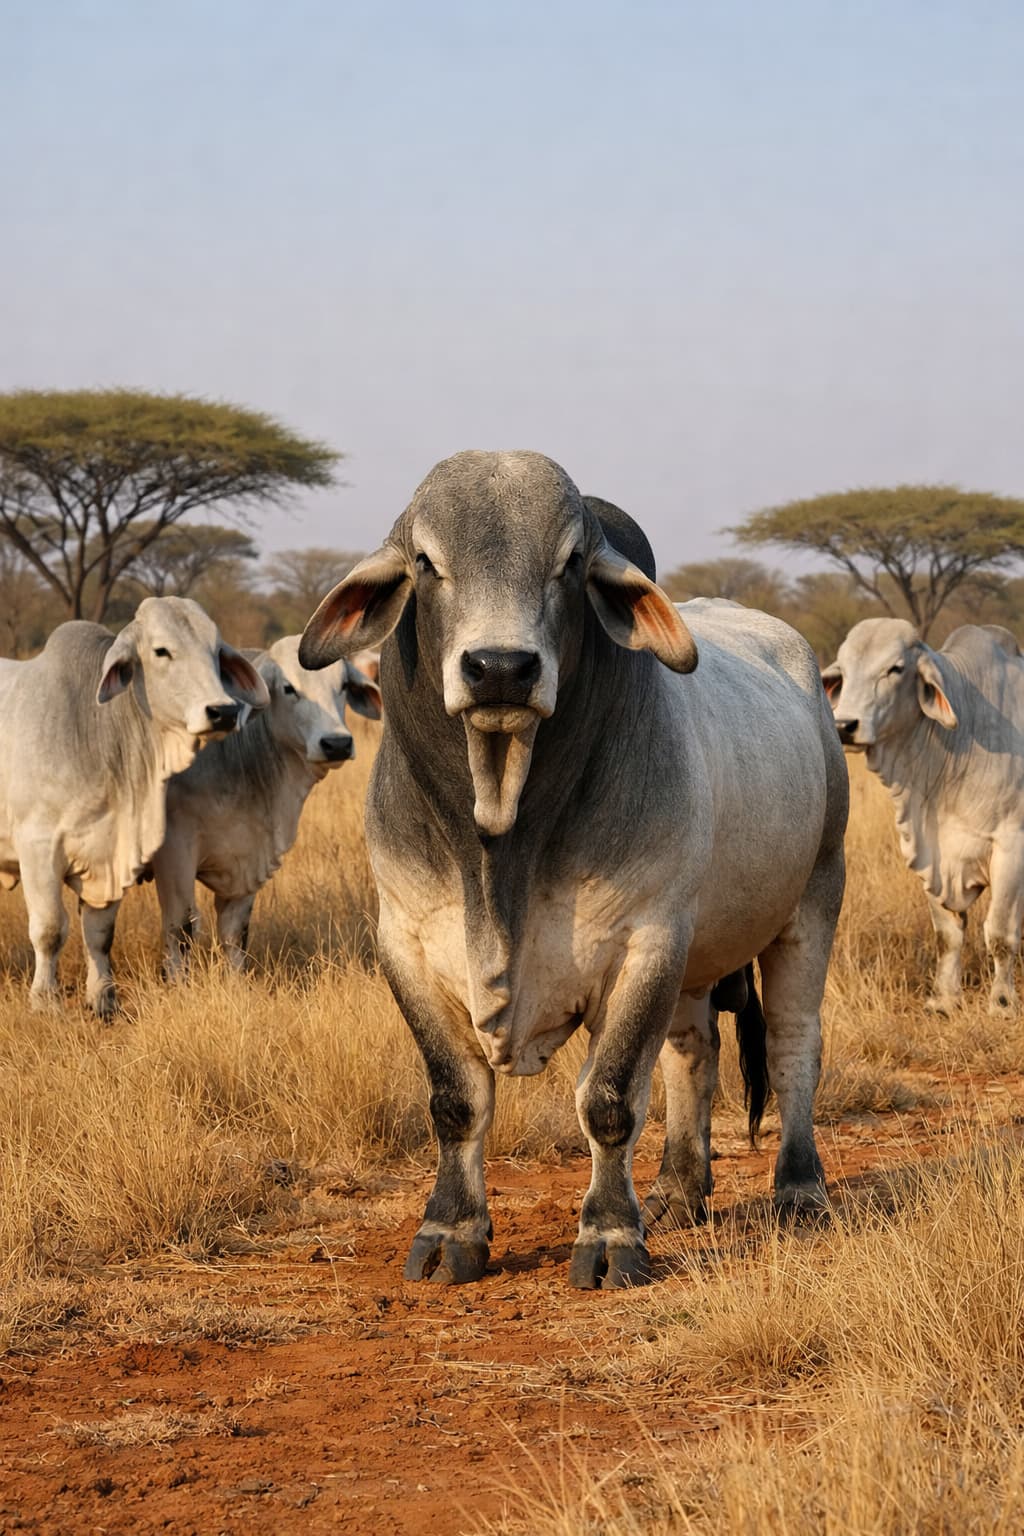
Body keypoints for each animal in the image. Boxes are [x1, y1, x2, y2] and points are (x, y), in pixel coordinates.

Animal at [0, 597, 268, 1015]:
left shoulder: (112, 852)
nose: (222, 711)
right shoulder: (37, 847)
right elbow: (49, 930)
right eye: (161, 651)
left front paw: (103, 1000)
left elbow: (99, 933)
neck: (95, 729)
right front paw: (45, 1003)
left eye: (215, 651)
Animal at [151, 634, 382, 974]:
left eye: (342, 685)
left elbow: (236, 933)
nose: (337, 743)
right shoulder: (174, 852)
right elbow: (180, 930)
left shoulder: (248, 862)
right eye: (288, 688)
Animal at [299, 450, 848, 1290]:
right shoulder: (405, 941)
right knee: (694, 1055)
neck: (502, 840)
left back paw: (798, 1189)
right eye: (425, 561)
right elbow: (457, 1098)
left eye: (571, 563)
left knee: (793, 1049)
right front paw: (450, 1230)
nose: (499, 668)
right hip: (695, 956)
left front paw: (610, 1236)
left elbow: (611, 1100)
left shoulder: (646, 941)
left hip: (811, 901)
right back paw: (678, 1192)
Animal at [823, 616, 1024, 1015]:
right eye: (844, 669)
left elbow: (999, 933)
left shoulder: (1011, 846)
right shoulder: (934, 854)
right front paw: (945, 1000)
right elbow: (947, 933)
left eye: (895, 669)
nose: (844, 726)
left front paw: (1001, 1004)